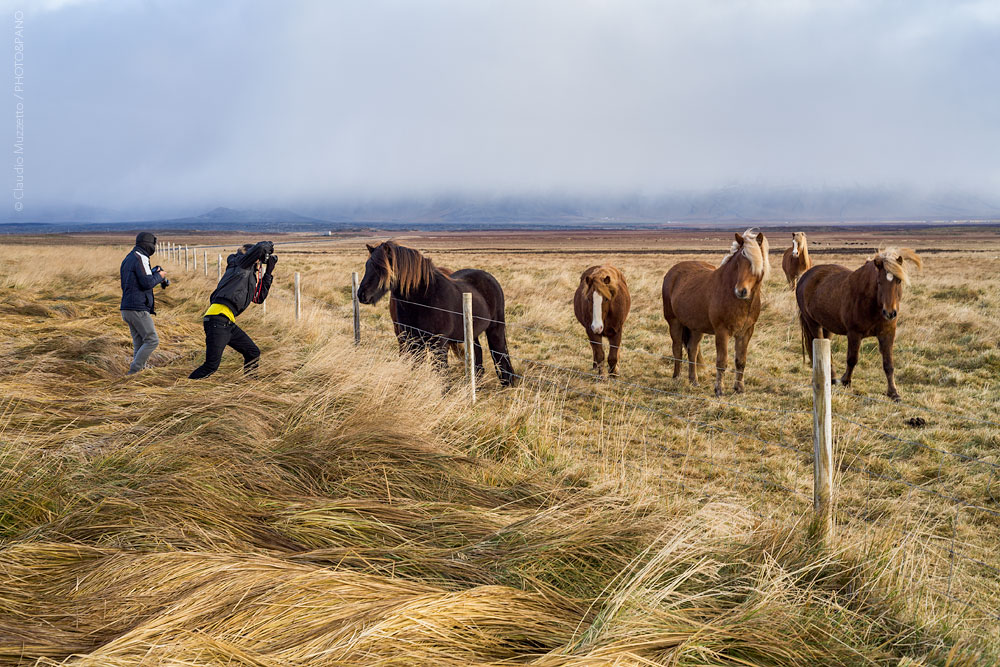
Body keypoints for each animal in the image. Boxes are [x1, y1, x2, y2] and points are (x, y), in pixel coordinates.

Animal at [357, 241, 517, 385]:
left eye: (381, 268)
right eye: (367, 266)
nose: (361, 294)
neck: (423, 298)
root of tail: (490, 278)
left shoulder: (438, 343)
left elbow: (441, 371)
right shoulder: (413, 340)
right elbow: (415, 367)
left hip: (495, 329)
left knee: (500, 354)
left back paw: (507, 384)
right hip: (472, 332)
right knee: (478, 354)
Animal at [662, 229, 770, 396]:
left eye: (755, 262)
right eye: (738, 262)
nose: (741, 291)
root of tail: (672, 272)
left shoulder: (746, 332)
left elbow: (741, 361)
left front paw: (739, 388)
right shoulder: (722, 332)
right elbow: (722, 362)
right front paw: (719, 390)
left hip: (696, 327)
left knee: (692, 350)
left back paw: (694, 380)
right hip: (674, 322)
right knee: (677, 349)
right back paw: (677, 378)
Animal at [796, 247, 922, 401]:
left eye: (898, 281)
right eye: (879, 282)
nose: (890, 313)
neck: (872, 304)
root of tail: (805, 276)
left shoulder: (887, 334)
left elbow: (888, 364)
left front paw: (893, 393)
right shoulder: (854, 334)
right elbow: (852, 359)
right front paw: (846, 381)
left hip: (827, 326)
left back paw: (832, 377)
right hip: (813, 324)